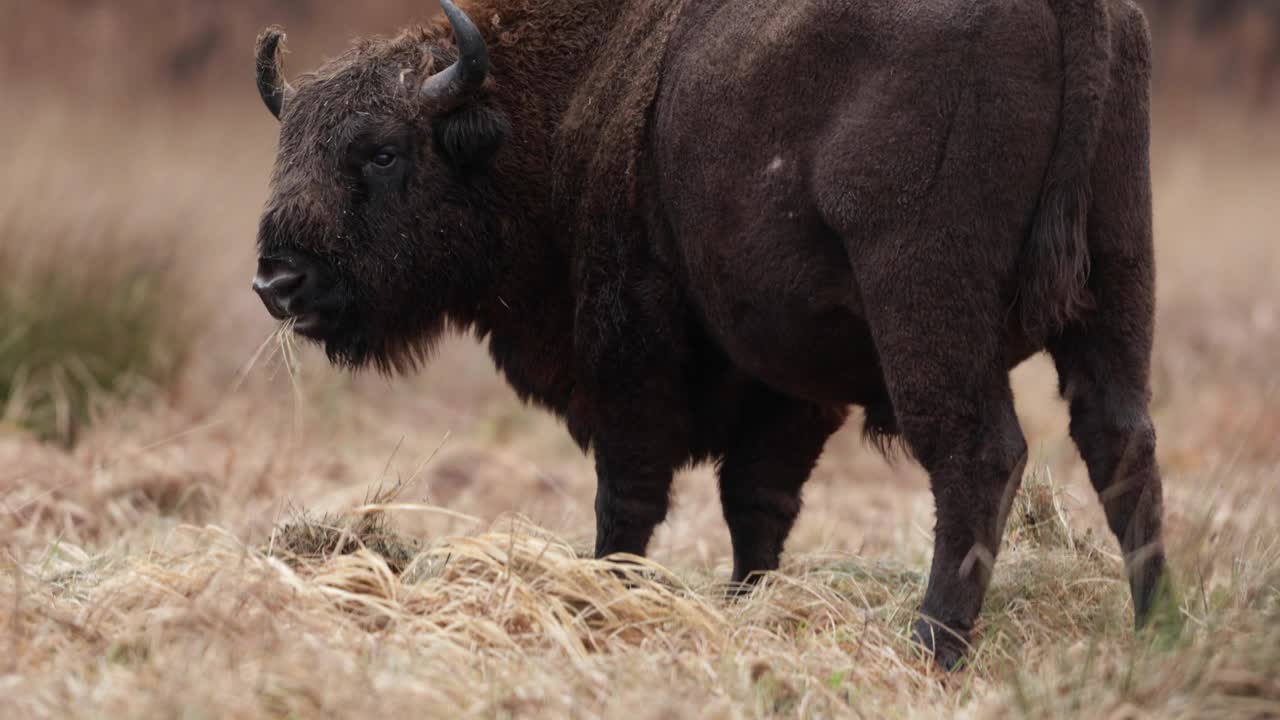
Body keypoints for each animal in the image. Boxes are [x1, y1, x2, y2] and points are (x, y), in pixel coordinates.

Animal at [249, 0, 1172, 666]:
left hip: (928, 310)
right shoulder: (782, 384)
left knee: (978, 456)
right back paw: (1158, 630)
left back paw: (930, 650)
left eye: (381, 152)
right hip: (1119, 288)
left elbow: (630, 496)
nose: (278, 280)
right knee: (1120, 442)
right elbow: (756, 503)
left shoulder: (629, 354)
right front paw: (744, 606)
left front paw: (606, 595)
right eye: (289, 146)